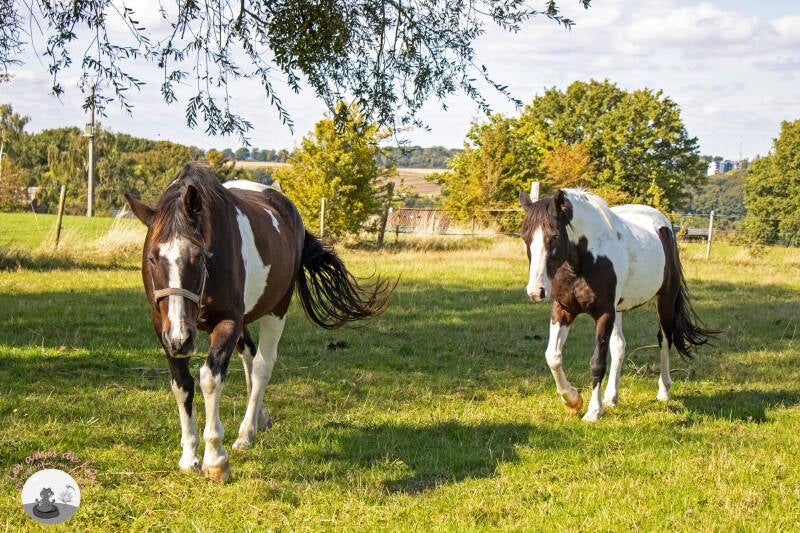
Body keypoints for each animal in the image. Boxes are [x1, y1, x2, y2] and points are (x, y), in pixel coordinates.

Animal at [125, 162, 392, 482]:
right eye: (153, 258)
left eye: (198, 256)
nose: (181, 338)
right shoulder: (163, 328)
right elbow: (182, 384)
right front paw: (189, 456)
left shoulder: (227, 321)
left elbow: (210, 379)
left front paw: (215, 458)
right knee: (250, 358)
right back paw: (259, 419)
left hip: (275, 309)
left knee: (262, 365)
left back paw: (245, 433)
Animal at [518, 188, 719, 422]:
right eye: (525, 237)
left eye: (554, 236)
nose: (536, 291)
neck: (586, 260)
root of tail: (664, 225)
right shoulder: (564, 309)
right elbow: (553, 357)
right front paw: (572, 400)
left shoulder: (604, 313)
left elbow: (597, 363)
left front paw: (593, 411)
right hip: (619, 310)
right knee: (619, 346)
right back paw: (611, 397)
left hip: (665, 300)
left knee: (665, 340)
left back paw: (664, 391)